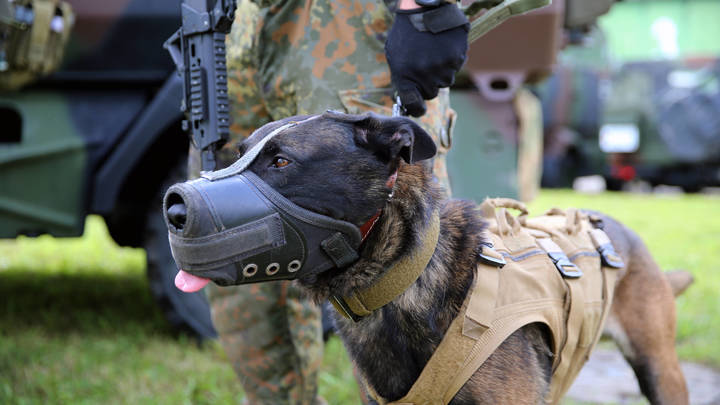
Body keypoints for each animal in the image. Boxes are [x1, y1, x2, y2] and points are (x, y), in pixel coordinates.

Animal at [173, 111, 688, 404]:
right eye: (237, 153)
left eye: (281, 161)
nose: (173, 208)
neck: (401, 279)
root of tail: (610, 222)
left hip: (660, 370)